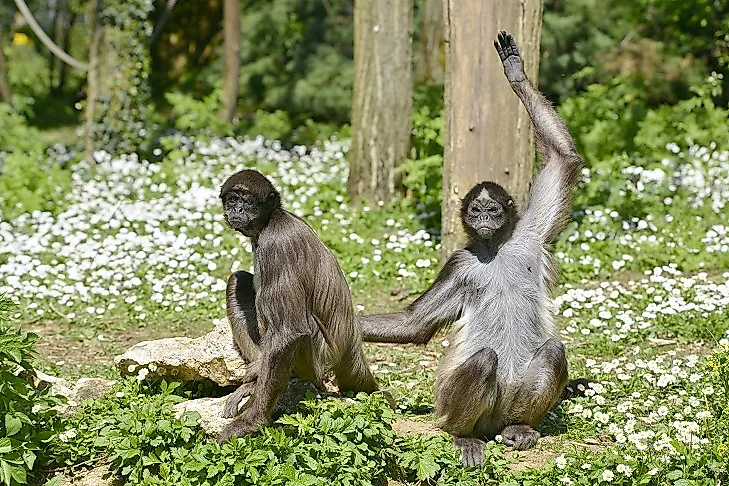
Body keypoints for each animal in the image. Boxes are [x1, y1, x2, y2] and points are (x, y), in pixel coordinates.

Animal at [356, 31, 584, 468]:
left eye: (492, 210)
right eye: (476, 211)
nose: (483, 221)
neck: (494, 250)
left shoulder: (528, 235)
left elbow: (564, 159)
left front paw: (515, 72)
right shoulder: (459, 262)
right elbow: (413, 324)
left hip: (511, 400)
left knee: (552, 351)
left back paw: (519, 428)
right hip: (448, 403)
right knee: (483, 359)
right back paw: (462, 436)